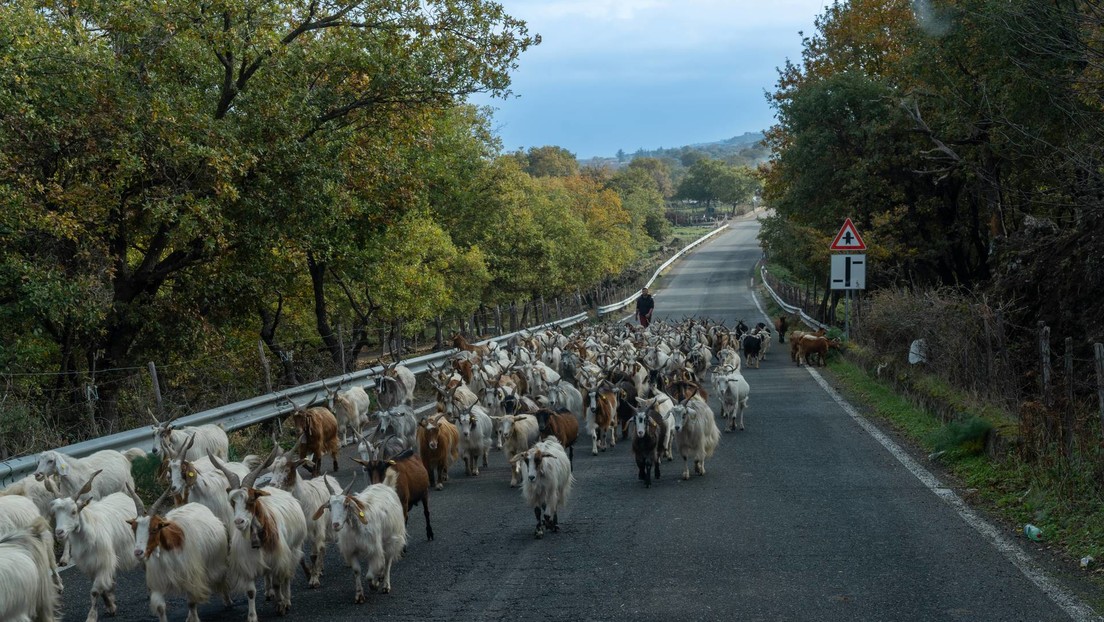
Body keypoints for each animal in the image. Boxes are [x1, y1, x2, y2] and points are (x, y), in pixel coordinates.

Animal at [50, 472, 137, 622]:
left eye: (74, 511)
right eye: (56, 513)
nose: (59, 532)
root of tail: (124, 496)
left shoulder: (103, 562)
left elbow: (95, 591)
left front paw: (91, 616)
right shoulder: (91, 565)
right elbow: (100, 590)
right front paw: (110, 606)